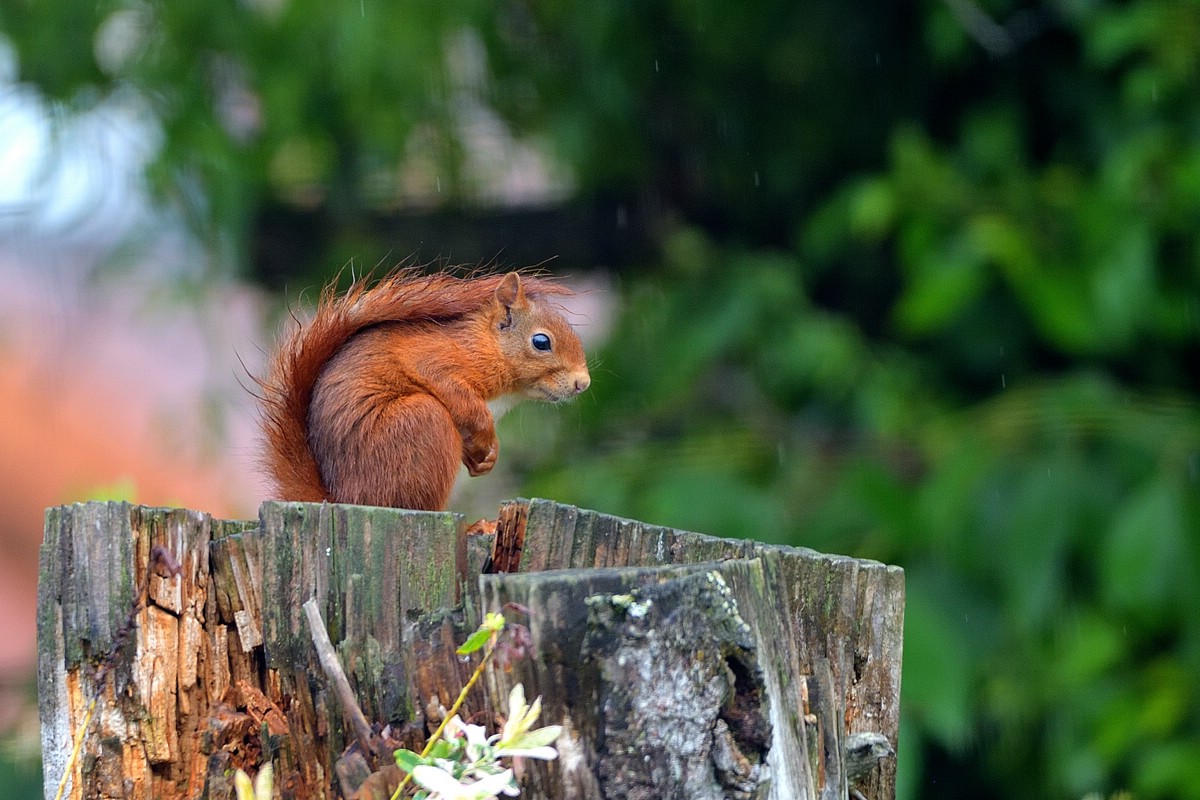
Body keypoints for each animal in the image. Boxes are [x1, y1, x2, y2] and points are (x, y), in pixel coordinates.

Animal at [258, 269, 590, 511]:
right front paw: (487, 433)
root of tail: (342, 500)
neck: (486, 345)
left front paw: (487, 457)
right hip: (422, 421)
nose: (583, 383)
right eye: (541, 342)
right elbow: (463, 400)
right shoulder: (435, 360)